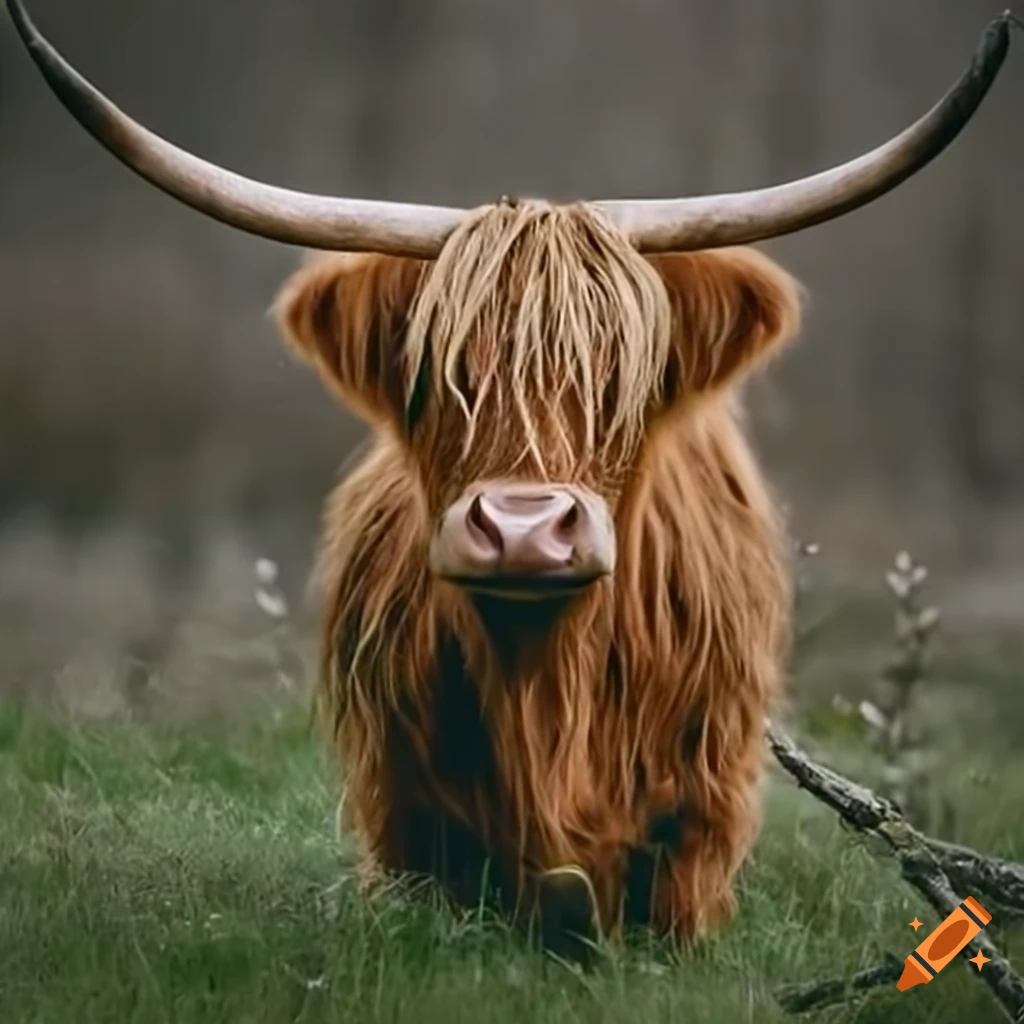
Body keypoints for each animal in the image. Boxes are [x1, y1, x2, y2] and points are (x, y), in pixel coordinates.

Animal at [8, 0, 1011, 958]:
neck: (545, 696)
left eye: (619, 378)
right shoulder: (402, 823)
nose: (525, 529)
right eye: (440, 373)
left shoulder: (699, 827)